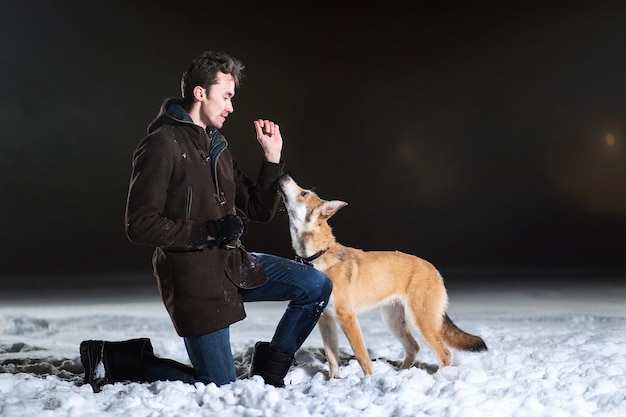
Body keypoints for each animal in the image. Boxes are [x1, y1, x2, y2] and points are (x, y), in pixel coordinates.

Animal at [278, 174, 488, 376]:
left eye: (304, 193)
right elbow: (332, 358)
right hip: (394, 321)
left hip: (421, 321)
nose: (283, 176)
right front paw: (333, 381)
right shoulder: (325, 319)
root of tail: (433, 269)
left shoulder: (347, 317)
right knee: (414, 347)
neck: (318, 256)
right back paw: (401, 374)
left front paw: (369, 380)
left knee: (444, 353)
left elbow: (362, 356)